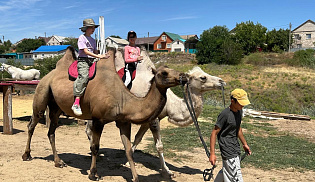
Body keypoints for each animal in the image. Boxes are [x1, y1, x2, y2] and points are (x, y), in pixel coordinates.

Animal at [22, 46, 188, 181]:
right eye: (164, 73)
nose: (183, 76)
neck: (124, 98)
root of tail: (49, 74)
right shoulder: (98, 119)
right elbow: (95, 147)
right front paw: (93, 174)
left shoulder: (123, 121)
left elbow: (128, 150)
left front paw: (135, 178)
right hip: (41, 93)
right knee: (32, 123)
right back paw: (27, 155)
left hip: (56, 106)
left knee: (51, 131)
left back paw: (58, 162)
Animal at [86, 48, 227, 178]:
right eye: (203, 77)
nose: (222, 81)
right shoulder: (154, 119)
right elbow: (159, 145)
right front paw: (167, 171)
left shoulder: (148, 119)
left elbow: (138, 138)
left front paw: (127, 161)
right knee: (89, 128)